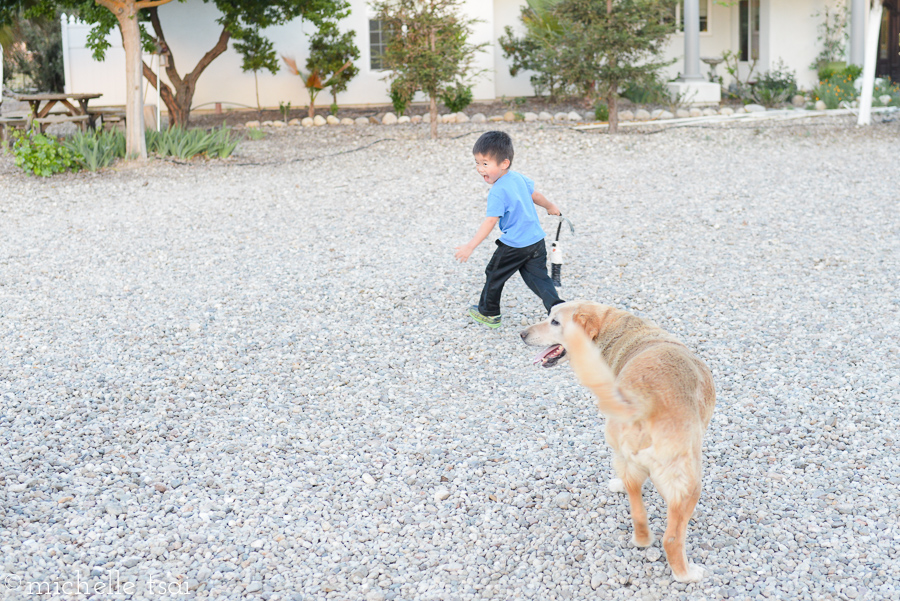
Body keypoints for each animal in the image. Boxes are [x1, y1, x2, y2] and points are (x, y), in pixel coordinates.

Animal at [520, 300, 716, 580]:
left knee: (638, 510)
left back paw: (641, 536)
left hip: (626, 456)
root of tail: (644, 403)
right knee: (672, 538)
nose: (522, 334)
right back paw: (686, 574)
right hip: (690, 484)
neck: (613, 329)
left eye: (554, 321)